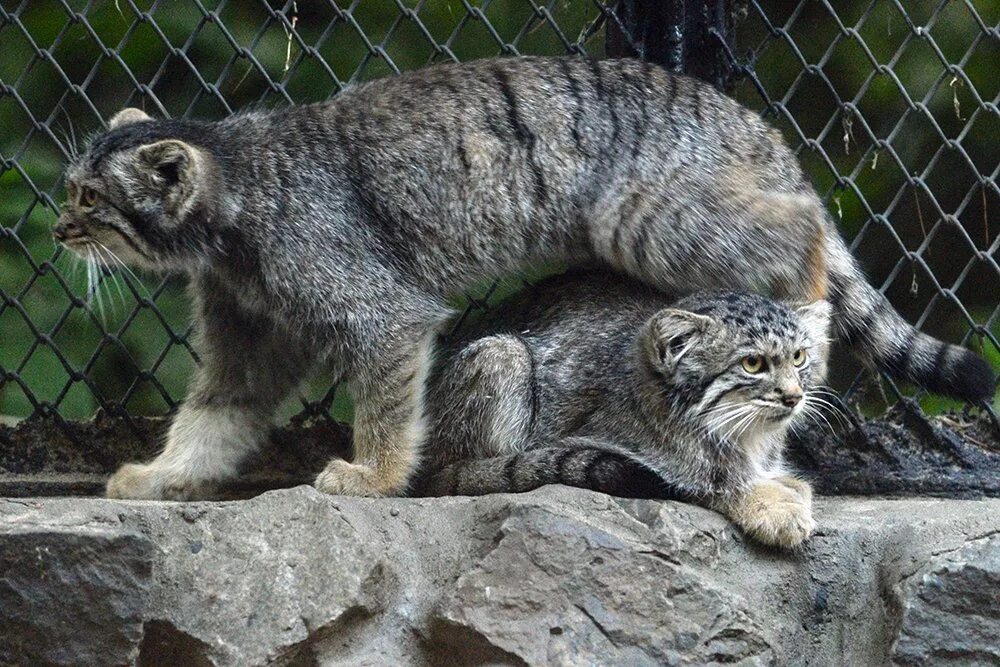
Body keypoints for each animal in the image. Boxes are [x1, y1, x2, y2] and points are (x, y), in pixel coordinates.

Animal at [54, 57, 992, 498]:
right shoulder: (247, 328)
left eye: (92, 199)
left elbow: (387, 402)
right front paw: (165, 476)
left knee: (802, 230)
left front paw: (376, 476)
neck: (235, 201)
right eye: (71, 188)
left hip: (654, 215)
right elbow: (214, 416)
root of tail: (751, 122)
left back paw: (808, 325)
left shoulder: (375, 308)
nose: (57, 228)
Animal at [414, 272, 828, 548]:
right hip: (501, 354)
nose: (794, 397)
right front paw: (774, 508)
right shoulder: (607, 448)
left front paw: (788, 490)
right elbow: (710, 482)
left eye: (799, 357)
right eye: (753, 364)